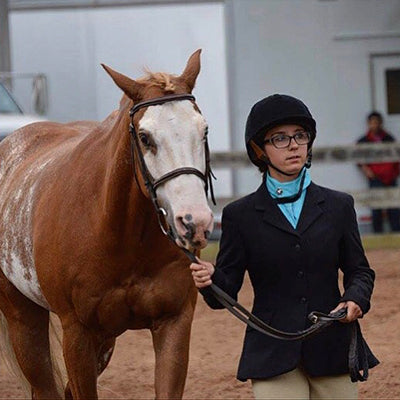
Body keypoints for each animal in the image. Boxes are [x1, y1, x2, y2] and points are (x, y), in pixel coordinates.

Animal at [0, 50, 214, 400]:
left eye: (204, 131)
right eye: (145, 137)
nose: (194, 221)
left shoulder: (174, 322)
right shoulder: (77, 334)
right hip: (24, 319)